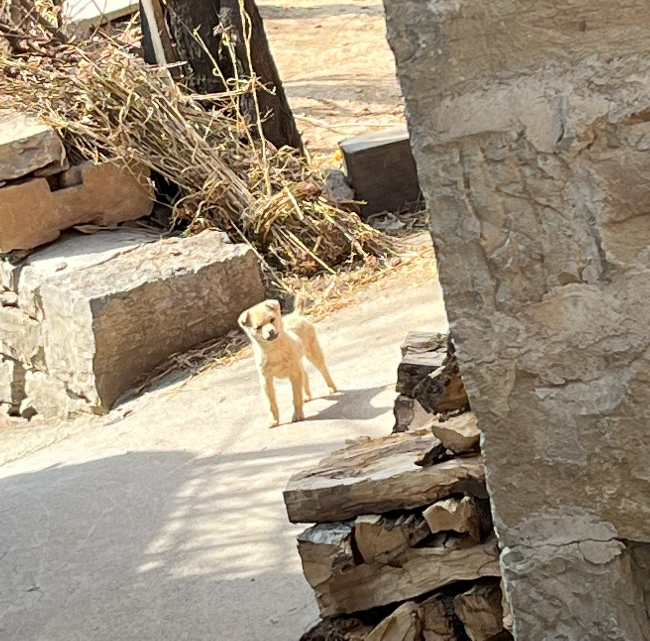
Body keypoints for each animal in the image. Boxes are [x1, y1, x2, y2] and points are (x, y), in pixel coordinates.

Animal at [238, 295, 337, 428]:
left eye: (272, 319)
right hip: (300, 363)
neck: (274, 349)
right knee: (305, 375)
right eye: (258, 327)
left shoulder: (294, 373)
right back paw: (307, 396)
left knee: (323, 370)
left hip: (313, 354)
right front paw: (274, 420)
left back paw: (331, 387)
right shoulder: (266, 380)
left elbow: (296, 398)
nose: (270, 331)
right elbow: (271, 404)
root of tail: (296, 314)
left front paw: (298, 415)